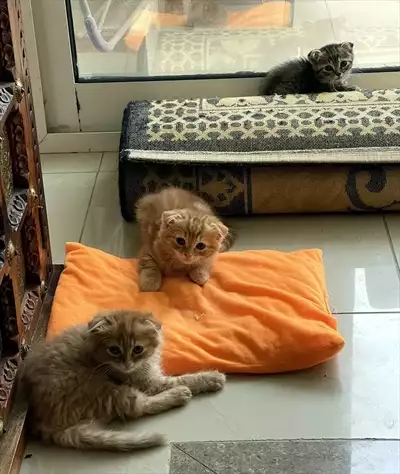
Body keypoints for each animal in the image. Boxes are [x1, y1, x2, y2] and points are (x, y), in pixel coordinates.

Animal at [23, 312, 227, 452]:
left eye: (138, 349)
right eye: (114, 350)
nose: (127, 363)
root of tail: (44, 424)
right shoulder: (148, 383)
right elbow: (184, 378)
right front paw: (212, 377)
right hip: (101, 388)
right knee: (138, 407)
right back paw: (178, 395)